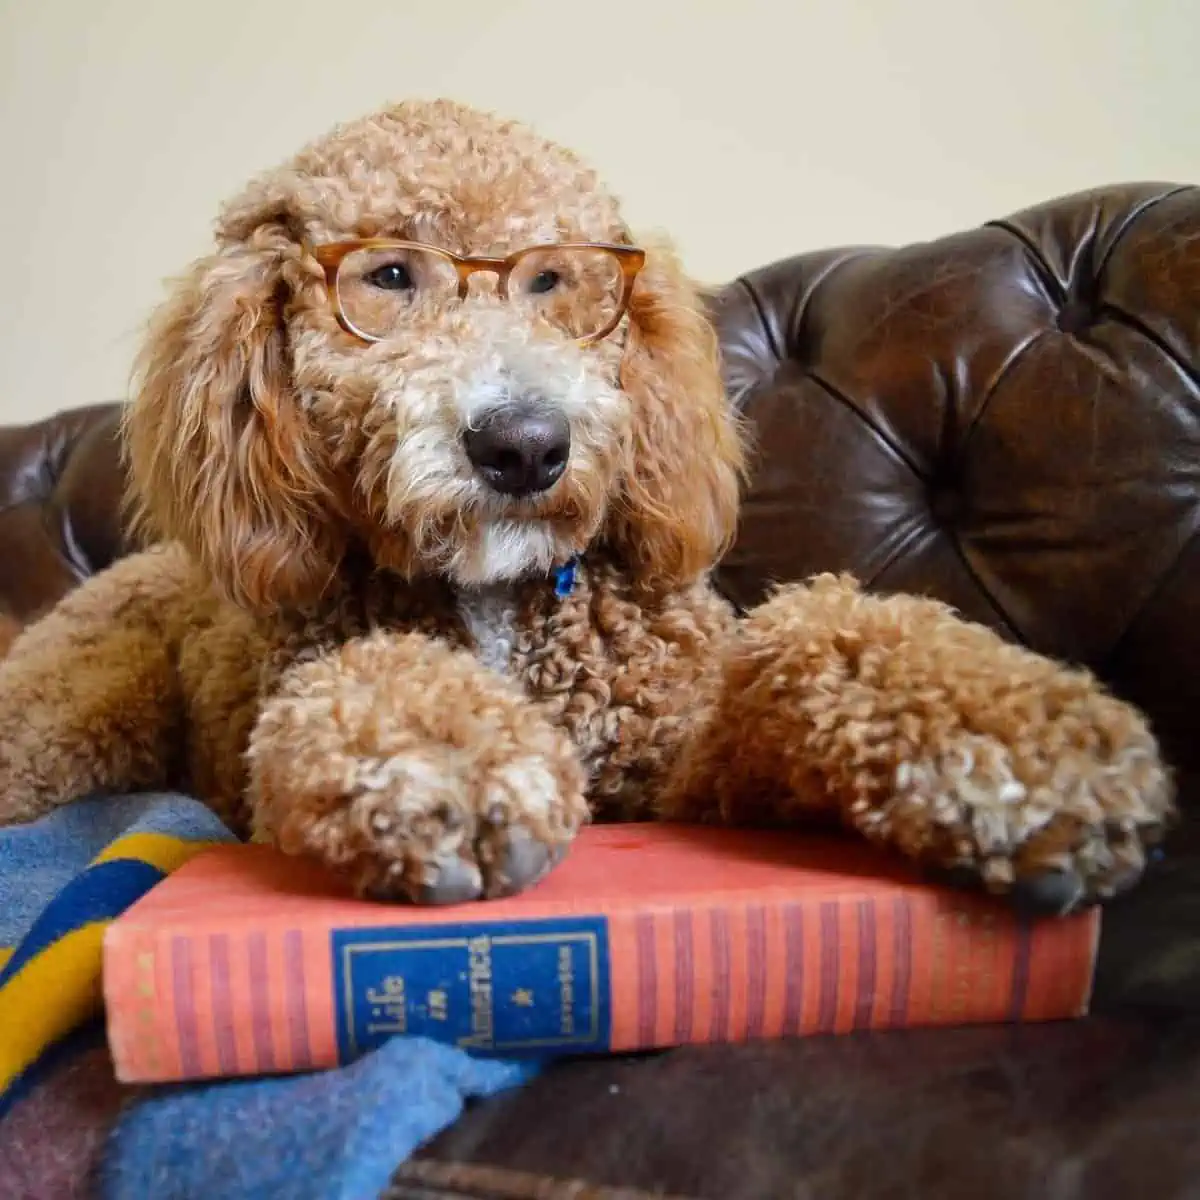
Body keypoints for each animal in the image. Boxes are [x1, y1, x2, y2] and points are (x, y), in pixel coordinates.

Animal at [0, 103, 1171, 912]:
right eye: (390, 276)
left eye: (554, 282)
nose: (524, 445)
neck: (499, 599)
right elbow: (365, 683)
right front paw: (440, 762)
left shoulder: (685, 766)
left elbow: (818, 640)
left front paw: (1012, 755)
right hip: (67, 719)